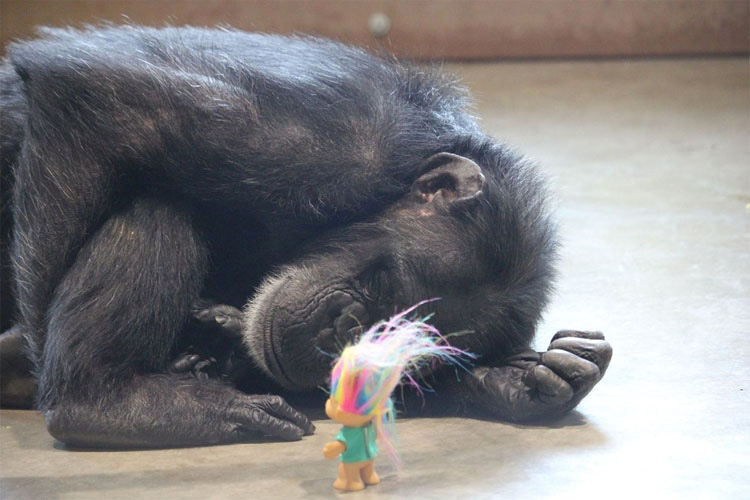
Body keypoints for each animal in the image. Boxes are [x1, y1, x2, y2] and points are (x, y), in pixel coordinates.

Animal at [0, 25, 612, 448]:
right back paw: (108, 401)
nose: (344, 332)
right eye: (383, 283)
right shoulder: (329, 141)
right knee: (157, 209)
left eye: (409, 357)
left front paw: (518, 380)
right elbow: (103, 105)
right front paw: (41, 374)